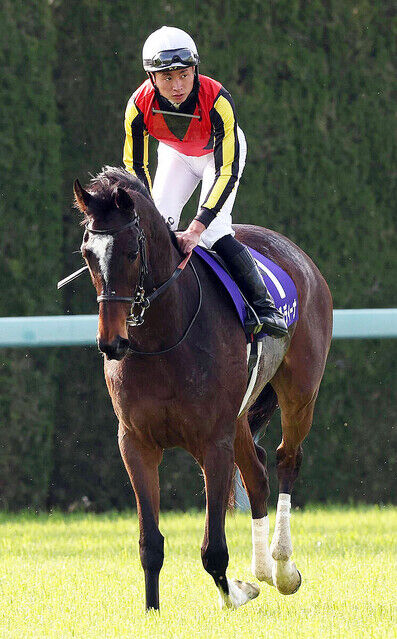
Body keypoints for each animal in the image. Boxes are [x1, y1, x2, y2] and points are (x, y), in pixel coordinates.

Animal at [72, 168, 332, 612]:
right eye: (88, 253)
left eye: (131, 252)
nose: (112, 343)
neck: (164, 337)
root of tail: (301, 257)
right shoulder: (135, 442)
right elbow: (150, 543)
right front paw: (152, 611)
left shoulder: (213, 441)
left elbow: (214, 549)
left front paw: (235, 594)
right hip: (241, 415)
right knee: (258, 472)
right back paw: (264, 568)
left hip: (300, 392)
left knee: (287, 459)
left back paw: (282, 568)